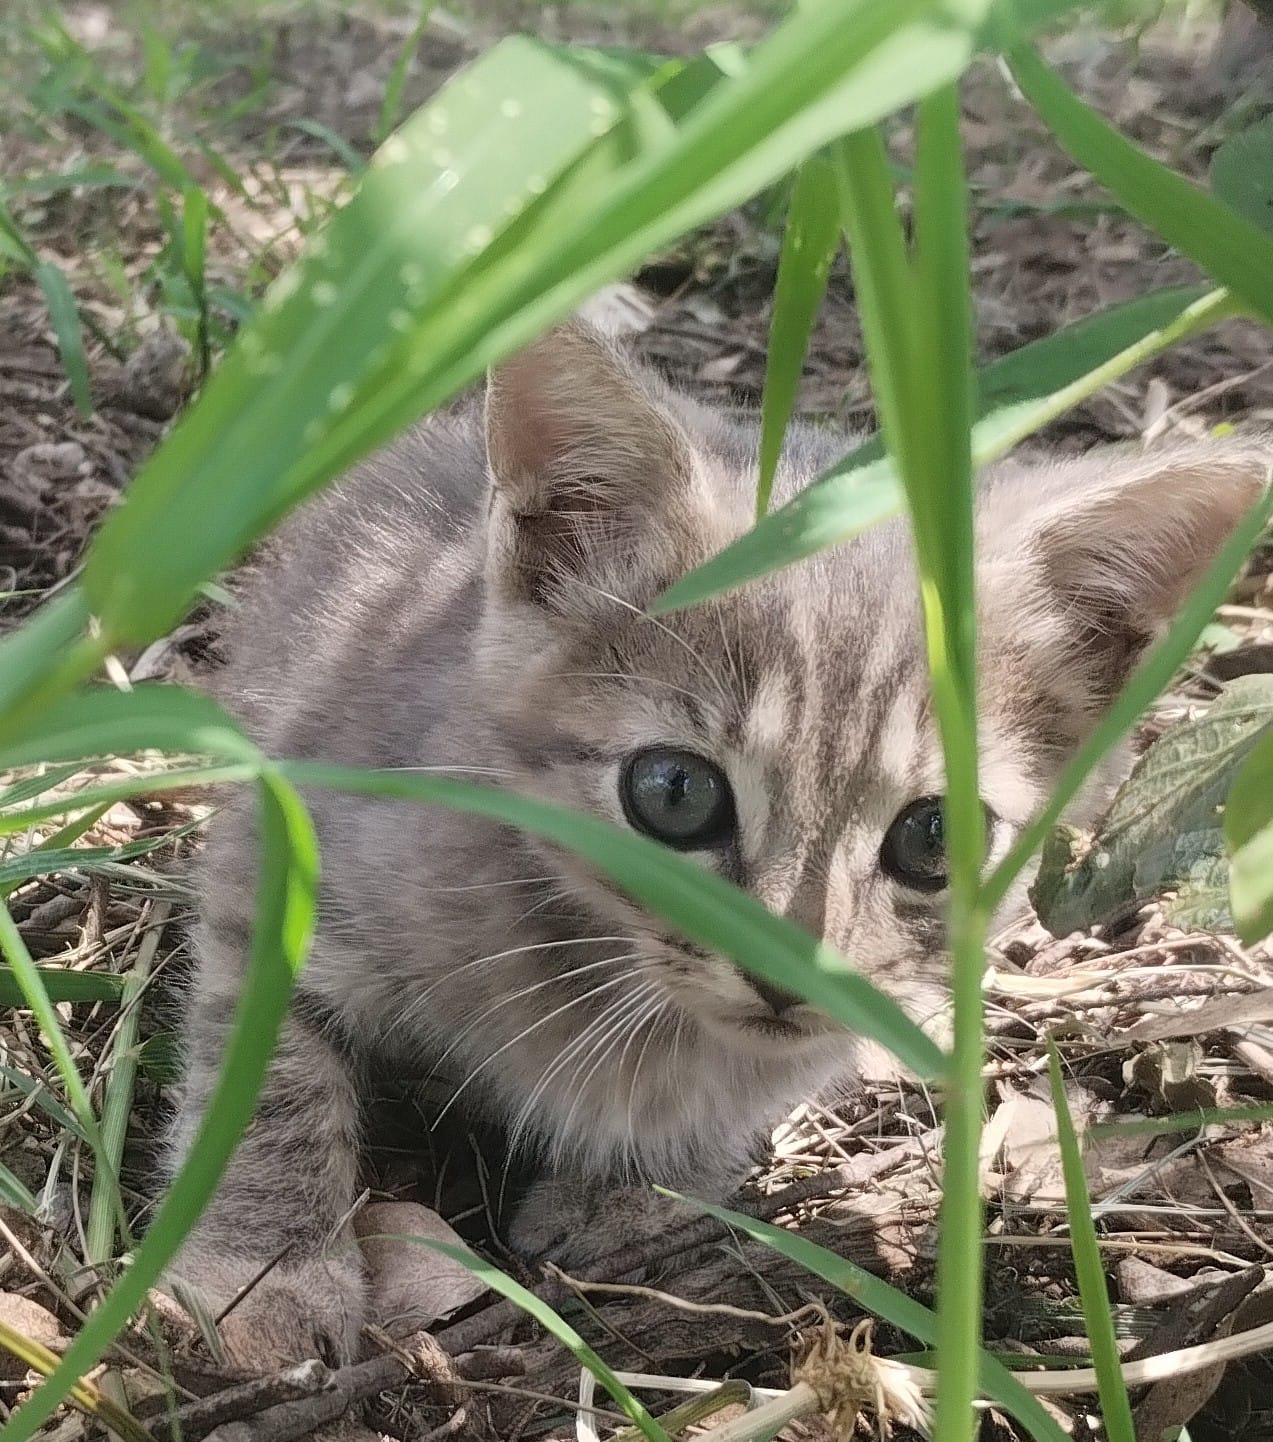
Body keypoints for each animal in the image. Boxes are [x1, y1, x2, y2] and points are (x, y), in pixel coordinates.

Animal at [166, 315, 1262, 1361]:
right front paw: (263, 1272)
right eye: (675, 792)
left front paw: (633, 1188)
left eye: (933, 836)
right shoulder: (277, 855)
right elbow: (263, 1082)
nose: (785, 977)